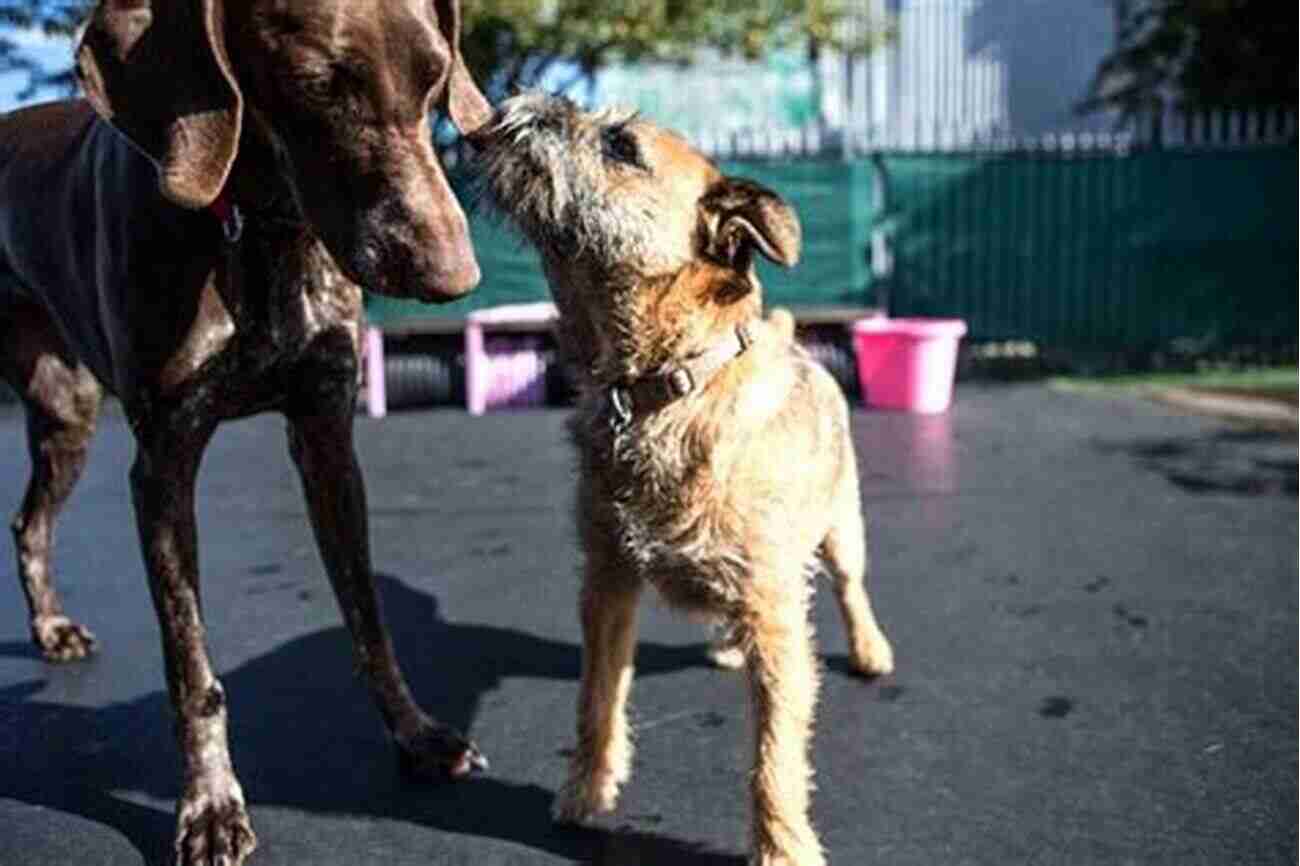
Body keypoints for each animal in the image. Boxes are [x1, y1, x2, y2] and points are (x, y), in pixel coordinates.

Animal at [478, 91, 894, 858]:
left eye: (620, 145)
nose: (535, 100)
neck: (667, 390)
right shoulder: (607, 584)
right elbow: (596, 699)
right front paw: (586, 790)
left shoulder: (776, 615)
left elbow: (774, 753)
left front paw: (782, 846)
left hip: (841, 529)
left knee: (852, 587)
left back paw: (870, 648)